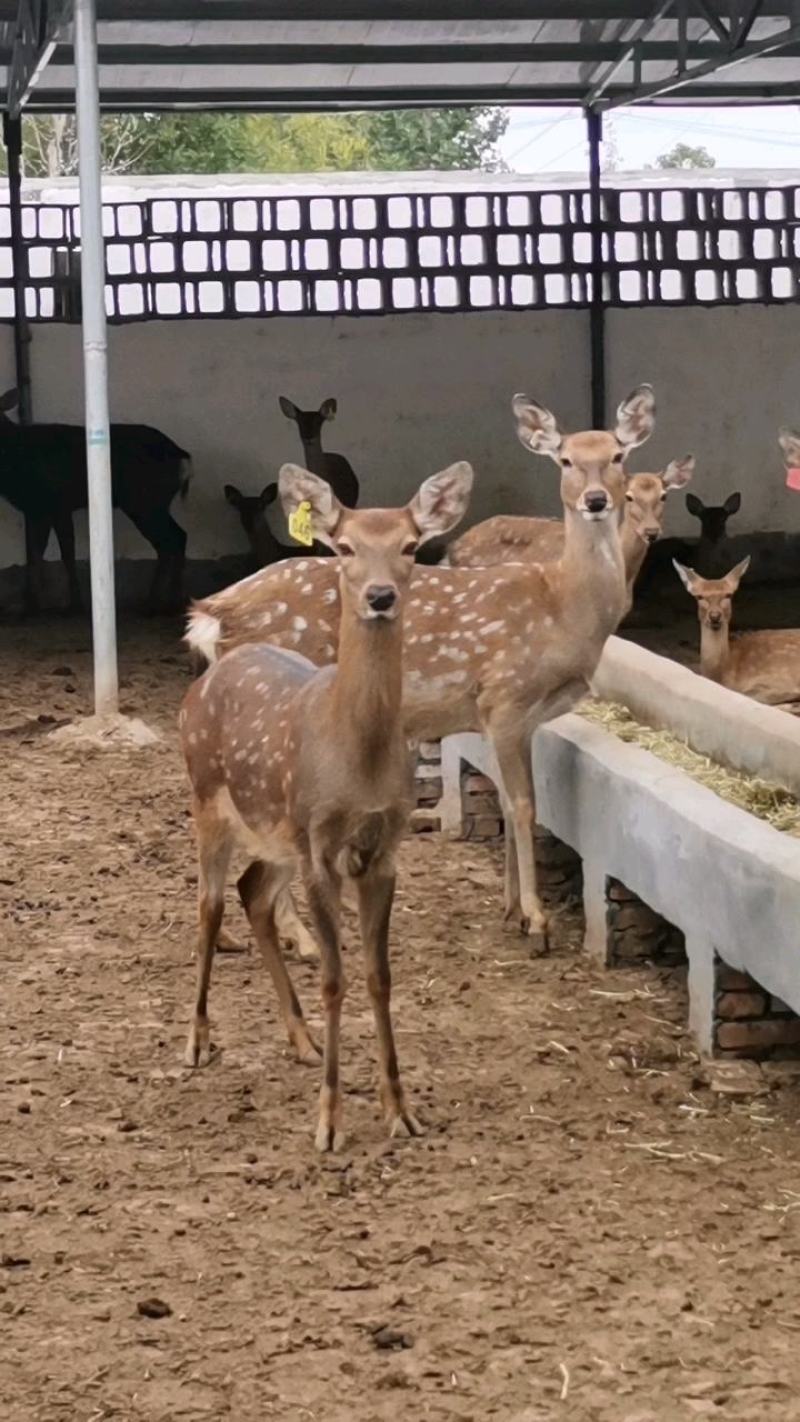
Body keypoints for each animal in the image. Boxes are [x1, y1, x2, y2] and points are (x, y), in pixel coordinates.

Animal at [0, 388, 192, 613]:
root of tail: (180, 454)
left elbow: (64, 552)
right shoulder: (35, 509)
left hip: (145, 501)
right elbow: (35, 553)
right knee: (176, 537)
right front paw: (32, 605)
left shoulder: (57, 504)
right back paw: (167, 601)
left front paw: (73, 605)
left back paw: (160, 602)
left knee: (170, 541)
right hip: (155, 502)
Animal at [180, 460, 473, 1152]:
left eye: (410, 546)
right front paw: (330, 1122)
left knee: (253, 893)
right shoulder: (320, 848)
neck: (356, 760)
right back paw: (198, 1041)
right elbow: (335, 978)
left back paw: (302, 1038)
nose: (380, 596)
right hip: (209, 799)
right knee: (208, 905)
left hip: (276, 832)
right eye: (342, 547)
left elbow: (378, 976)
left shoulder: (382, 848)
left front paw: (400, 1110)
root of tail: (203, 678)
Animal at [186, 386, 656, 954]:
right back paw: (302, 937)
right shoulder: (505, 696)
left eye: (618, 455)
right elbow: (524, 805)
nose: (596, 499)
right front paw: (537, 921)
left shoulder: (501, 717)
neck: (563, 607)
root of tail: (214, 614)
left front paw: (510, 911)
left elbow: (505, 800)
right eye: (565, 459)